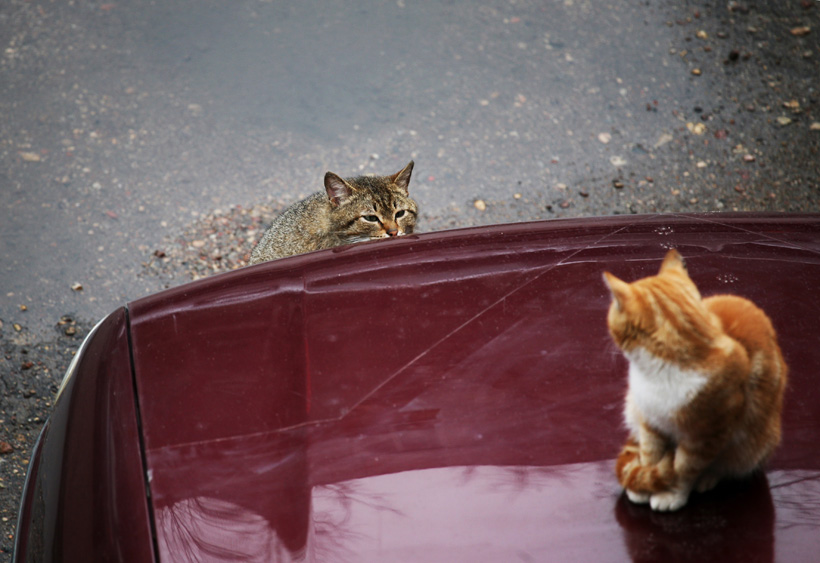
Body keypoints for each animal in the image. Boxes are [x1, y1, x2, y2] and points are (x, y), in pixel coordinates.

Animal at [603, 249, 787, 512]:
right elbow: (650, 457)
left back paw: (708, 478)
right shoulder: (650, 422)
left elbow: (683, 470)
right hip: (633, 409)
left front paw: (670, 494)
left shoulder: (705, 436)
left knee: (728, 465)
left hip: (752, 446)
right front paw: (644, 487)